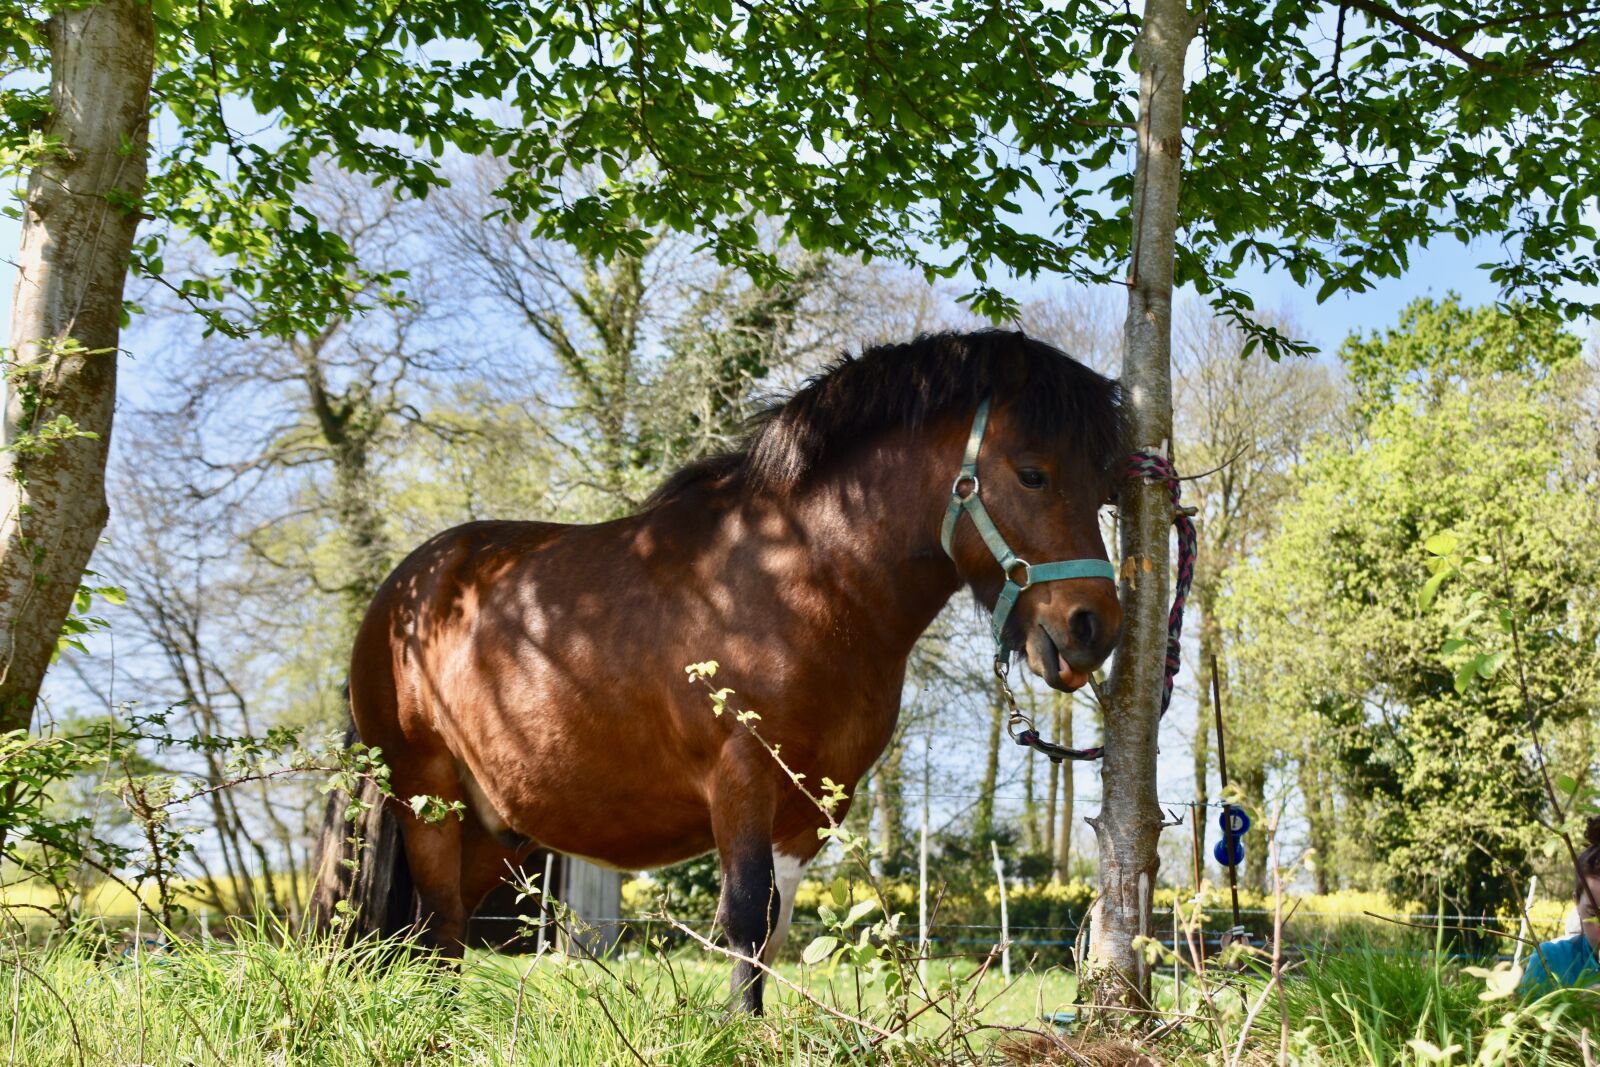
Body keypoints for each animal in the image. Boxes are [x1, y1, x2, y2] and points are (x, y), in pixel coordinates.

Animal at [348, 329, 1125, 1012]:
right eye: (1033, 473)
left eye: (1104, 488)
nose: (1094, 626)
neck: (798, 580)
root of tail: (403, 593)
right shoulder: (742, 774)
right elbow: (748, 918)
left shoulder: (814, 807)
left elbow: (776, 931)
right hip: (427, 794)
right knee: (436, 922)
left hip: (494, 825)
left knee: (446, 927)